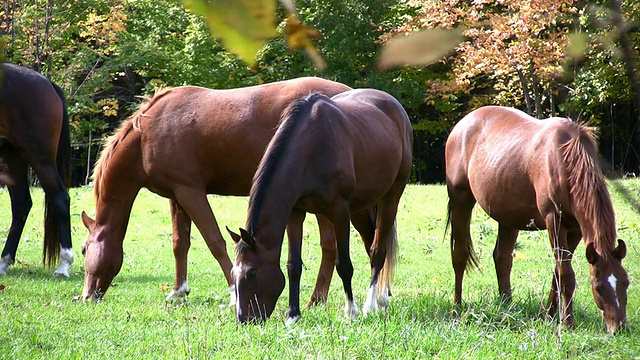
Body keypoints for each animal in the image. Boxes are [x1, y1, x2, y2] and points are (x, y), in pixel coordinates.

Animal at [0, 62, 73, 276]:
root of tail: (48, 83)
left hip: (39, 158)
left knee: (60, 199)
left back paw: (64, 265)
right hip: (12, 158)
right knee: (21, 204)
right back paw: (4, 262)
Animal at [80, 76, 352, 310]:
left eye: (83, 250)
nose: (86, 296)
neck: (146, 136)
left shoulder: (190, 191)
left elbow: (215, 242)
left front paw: (233, 293)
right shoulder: (176, 196)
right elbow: (180, 243)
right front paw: (178, 291)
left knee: (329, 247)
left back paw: (316, 299)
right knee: (329, 247)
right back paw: (317, 300)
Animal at [230, 88, 416, 324]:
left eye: (251, 273)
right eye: (233, 274)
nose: (244, 320)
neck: (312, 147)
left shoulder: (339, 211)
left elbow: (344, 264)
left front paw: (351, 312)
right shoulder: (295, 213)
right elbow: (293, 265)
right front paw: (293, 315)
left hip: (390, 197)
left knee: (378, 250)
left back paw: (374, 304)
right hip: (359, 209)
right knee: (370, 244)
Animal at [444, 105, 632, 334]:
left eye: (626, 282)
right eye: (598, 286)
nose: (619, 327)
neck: (565, 158)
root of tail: (463, 124)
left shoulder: (576, 229)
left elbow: (558, 272)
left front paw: (550, 315)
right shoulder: (555, 220)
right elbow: (566, 274)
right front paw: (567, 322)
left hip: (508, 217)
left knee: (502, 258)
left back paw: (507, 305)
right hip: (461, 200)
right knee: (459, 256)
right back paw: (457, 307)